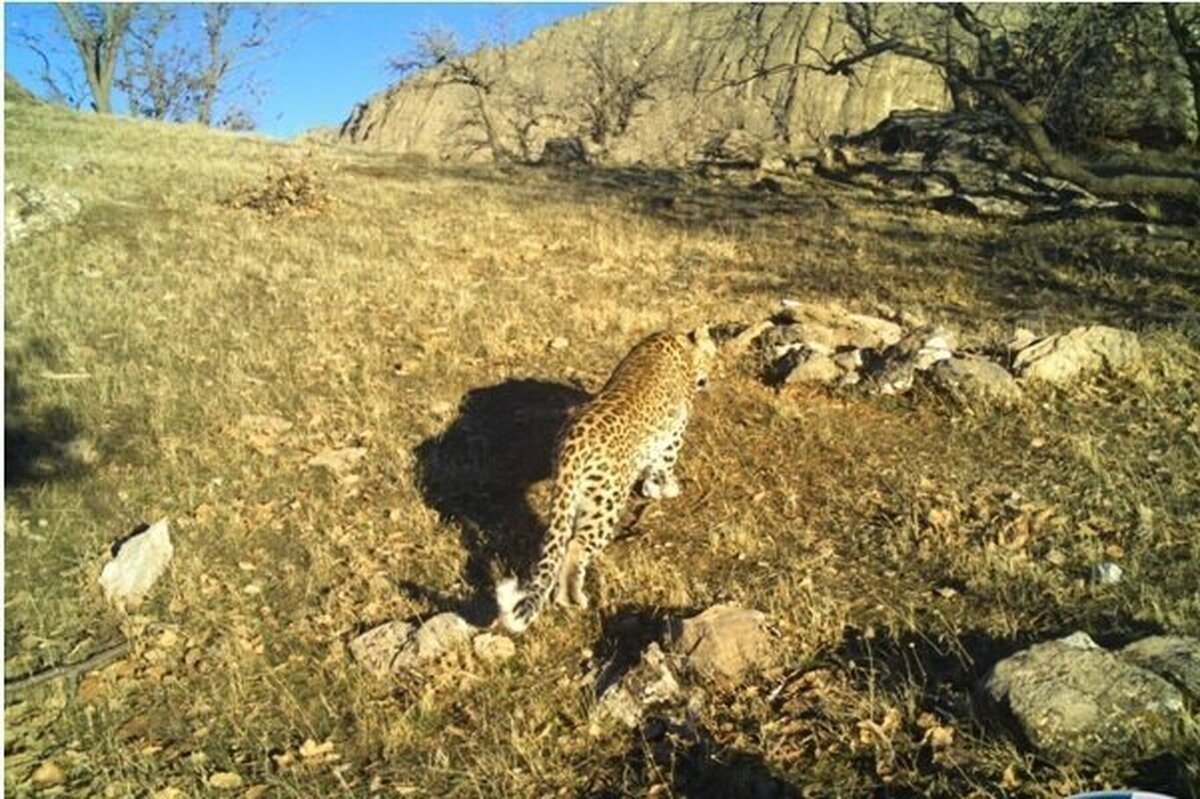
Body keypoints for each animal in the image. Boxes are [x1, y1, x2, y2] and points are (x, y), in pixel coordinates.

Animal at [492, 321, 715, 628]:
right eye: (713, 354)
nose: (711, 378)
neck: (679, 344)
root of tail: (573, 446)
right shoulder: (674, 434)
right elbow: (664, 465)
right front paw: (667, 488)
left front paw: (650, 488)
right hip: (605, 502)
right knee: (576, 545)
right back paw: (574, 599)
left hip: (574, 498)